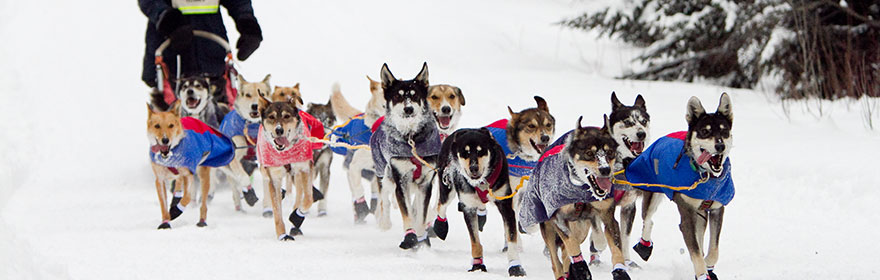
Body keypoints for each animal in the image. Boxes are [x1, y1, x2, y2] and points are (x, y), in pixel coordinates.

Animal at [516, 116, 632, 280]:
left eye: (609, 152)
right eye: (589, 153)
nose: (605, 169)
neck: (581, 188)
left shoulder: (607, 216)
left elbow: (616, 249)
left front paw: (620, 272)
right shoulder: (558, 217)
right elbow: (571, 244)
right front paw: (581, 268)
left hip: (581, 228)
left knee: (565, 255)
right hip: (549, 229)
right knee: (556, 261)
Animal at [624, 93, 736, 280]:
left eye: (724, 131)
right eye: (705, 131)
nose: (720, 146)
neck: (706, 177)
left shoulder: (716, 210)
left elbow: (713, 250)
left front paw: (708, 265)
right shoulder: (687, 213)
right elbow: (696, 252)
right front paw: (702, 273)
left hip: (700, 214)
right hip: (653, 193)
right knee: (648, 219)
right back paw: (644, 245)